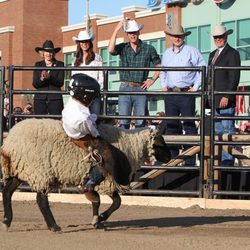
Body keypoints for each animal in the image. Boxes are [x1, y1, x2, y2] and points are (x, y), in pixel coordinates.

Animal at [0, 118, 171, 231]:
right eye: (160, 143)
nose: (169, 157)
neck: (130, 146)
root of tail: (10, 143)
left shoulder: (100, 180)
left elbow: (99, 200)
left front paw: (97, 220)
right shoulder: (107, 180)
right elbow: (116, 202)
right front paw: (100, 218)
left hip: (21, 169)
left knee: (7, 192)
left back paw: (7, 221)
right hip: (40, 171)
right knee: (41, 200)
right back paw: (53, 226)